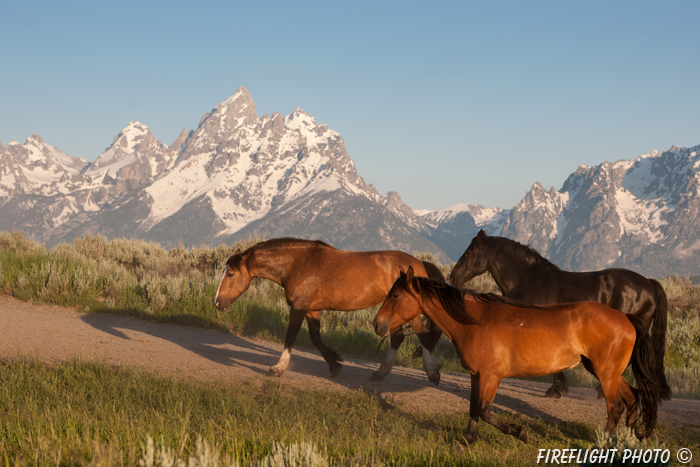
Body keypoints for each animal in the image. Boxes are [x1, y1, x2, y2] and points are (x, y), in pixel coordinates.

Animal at [213, 238, 442, 384]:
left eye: (230, 274)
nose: (217, 302)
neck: (297, 264)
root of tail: (420, 264)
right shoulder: (311, 309)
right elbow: (315, 338)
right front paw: (335, 364)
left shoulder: (298, 308)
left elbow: (290, 338)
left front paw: (277, 369)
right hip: (396, 313)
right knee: (398, 338)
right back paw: (380, 373)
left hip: (407, 312)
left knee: (421, 334)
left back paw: (432, 373)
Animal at [374, 268, 668, 444]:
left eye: (396, 295)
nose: (377, 324)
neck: (475, 321)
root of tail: (625, 317)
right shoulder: (476, 375)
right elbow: (473, 408)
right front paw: (468, 440)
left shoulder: (492, 376)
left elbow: (484, 410)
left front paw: (520, 432)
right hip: (605, 371)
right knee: (632, 397)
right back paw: (631, 438)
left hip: (605, 373)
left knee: (616, 405)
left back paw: (604, 442)